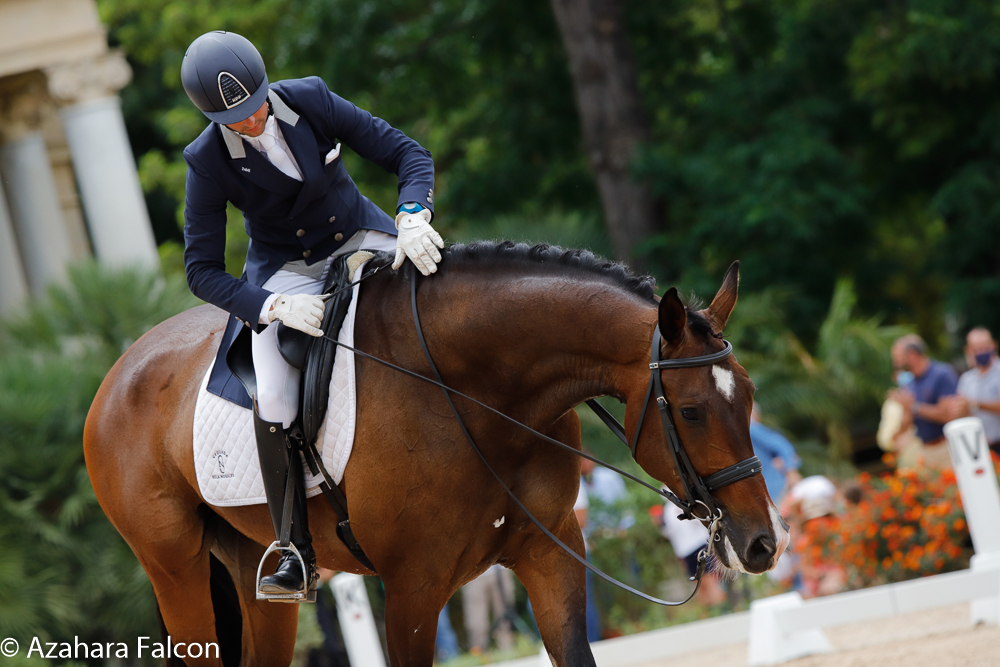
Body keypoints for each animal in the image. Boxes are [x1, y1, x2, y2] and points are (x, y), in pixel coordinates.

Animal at [84, 245, 788, 667]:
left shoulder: (554, 552)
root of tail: (118, 372)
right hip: (175, 569)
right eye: (692, 411)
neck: (476, 394)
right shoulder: (412, 590)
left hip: (255, 575)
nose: (764, 544)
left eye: (751, 396)